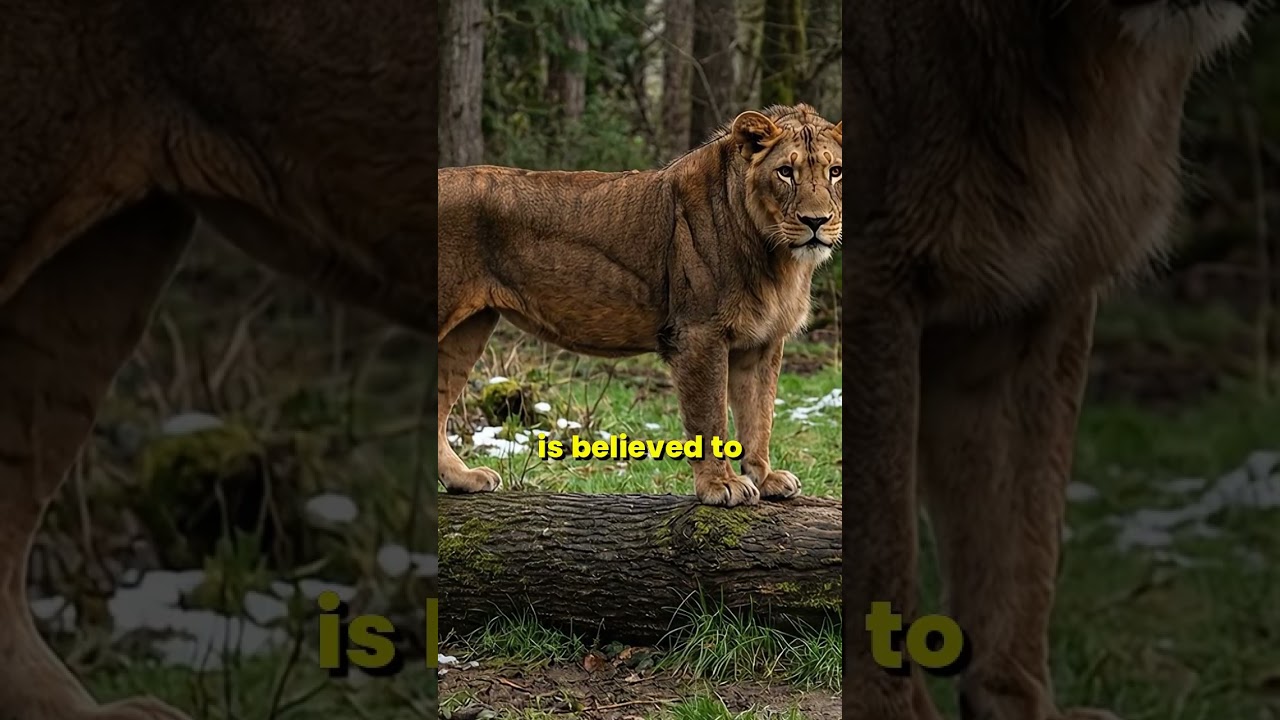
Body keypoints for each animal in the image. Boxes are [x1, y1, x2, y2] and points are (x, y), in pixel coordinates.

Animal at [437, 104, 842, 508]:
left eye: (835, 171)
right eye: (785, 172)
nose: (816, 221)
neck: (776, 256)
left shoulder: (762, 342)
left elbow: (759, 415)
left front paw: (766, 477)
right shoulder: (699, 332)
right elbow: (710, 417)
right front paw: (719, 484)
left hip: (468, 330)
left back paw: (461, 478)